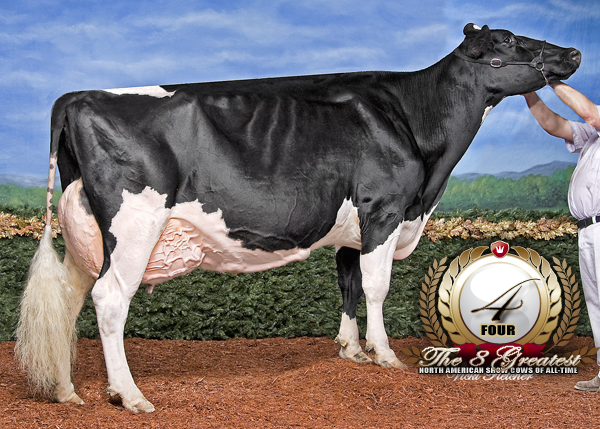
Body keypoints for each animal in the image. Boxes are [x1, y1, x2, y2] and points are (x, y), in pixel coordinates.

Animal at [16, 24, 580, 413]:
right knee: (110, 299)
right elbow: (376, 287)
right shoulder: (383, 209)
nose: (573, 52)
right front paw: (385, 354)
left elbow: (349, 283)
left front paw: (352, 351)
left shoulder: (353, 226)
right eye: (508, 41)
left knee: (70, 298)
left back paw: (67, 390)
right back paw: (129, 396)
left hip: (88, 232)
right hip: (134, 224)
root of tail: (78, 95)